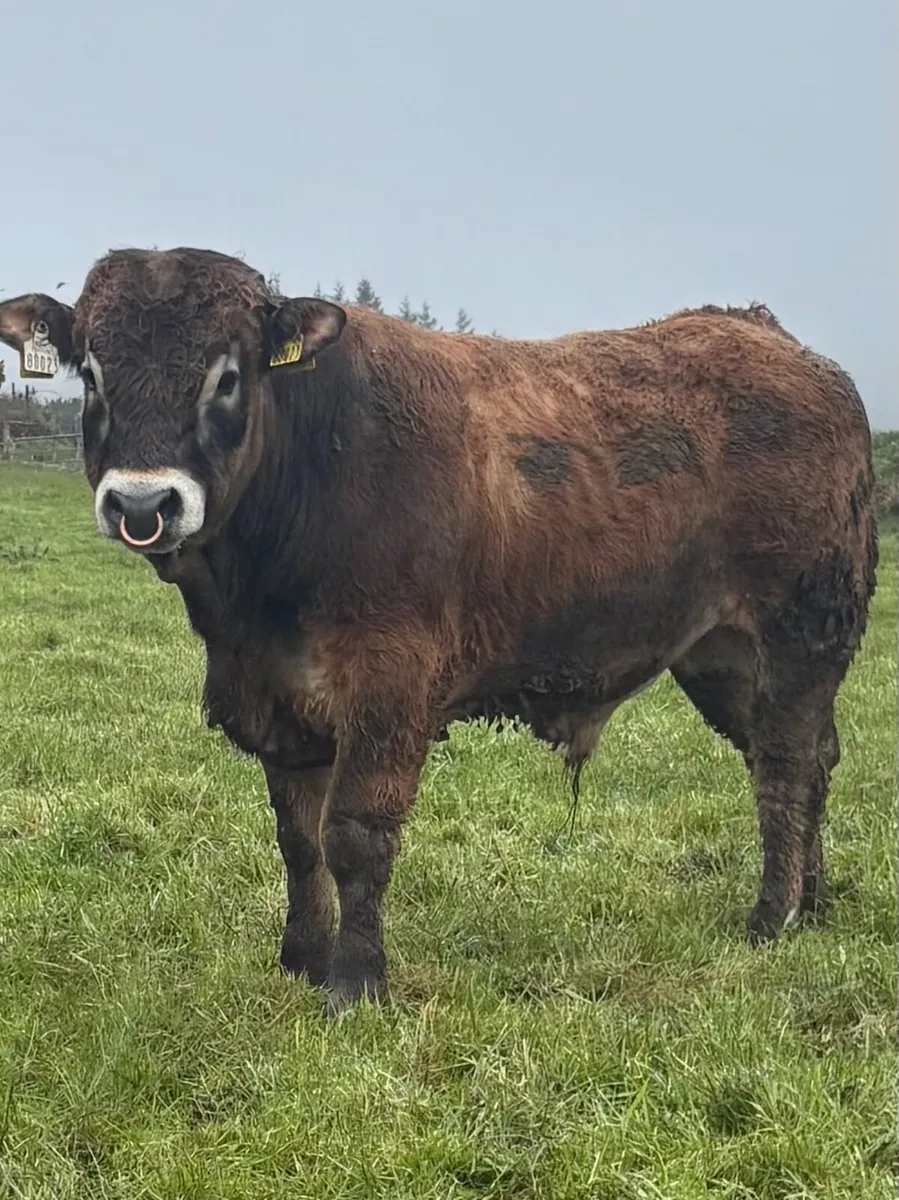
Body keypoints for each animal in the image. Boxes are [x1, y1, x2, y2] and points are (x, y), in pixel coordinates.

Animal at [0, 248, 878, 1014]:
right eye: (92, 373)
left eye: (227, 376)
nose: (143, 503)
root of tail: (768, 336)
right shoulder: (280, 698)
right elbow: (298, 839)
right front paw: (300, 959)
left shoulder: (389, 683)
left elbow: (355, 834)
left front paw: (354, 984)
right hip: (720, 654)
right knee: (807, 757)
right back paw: (813, 903)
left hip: (801, 629)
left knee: (784, 766)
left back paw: (771, 917)